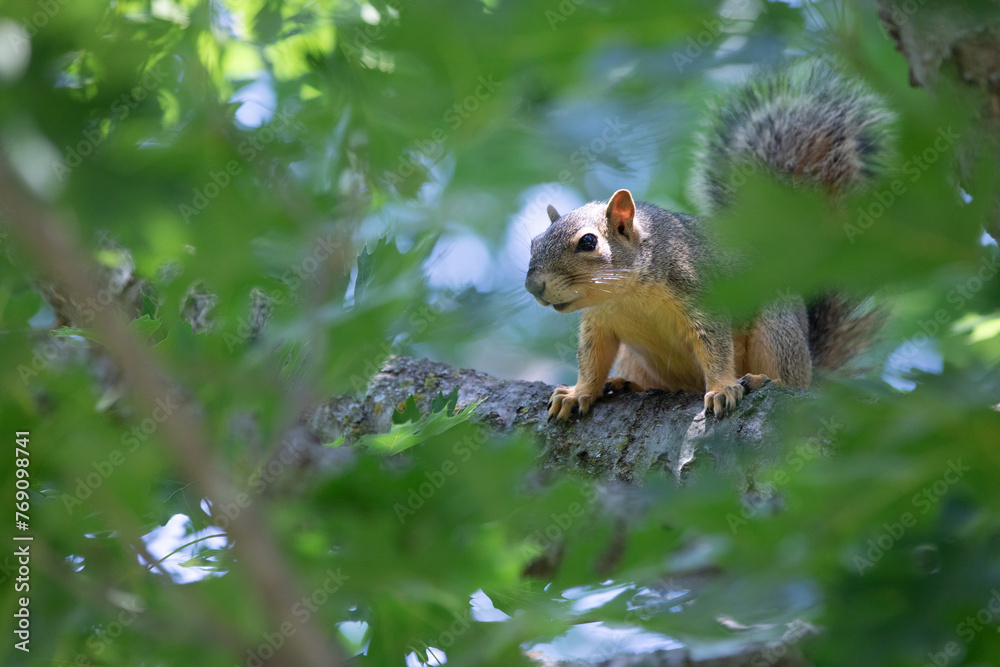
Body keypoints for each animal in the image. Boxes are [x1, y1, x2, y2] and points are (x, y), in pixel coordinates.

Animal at [525, 61, 894, 420]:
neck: (627, 297)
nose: (533, 286)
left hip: (776, 331)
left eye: (588, 242)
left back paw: (764, 380)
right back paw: (624, 383)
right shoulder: (598, 322)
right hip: (636, 358)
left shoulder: (701, 293)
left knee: (790, 381)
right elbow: (592, 359)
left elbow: (715, 348)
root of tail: (813, 369)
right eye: (533, 244)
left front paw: (721, 389)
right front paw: (578, 393)